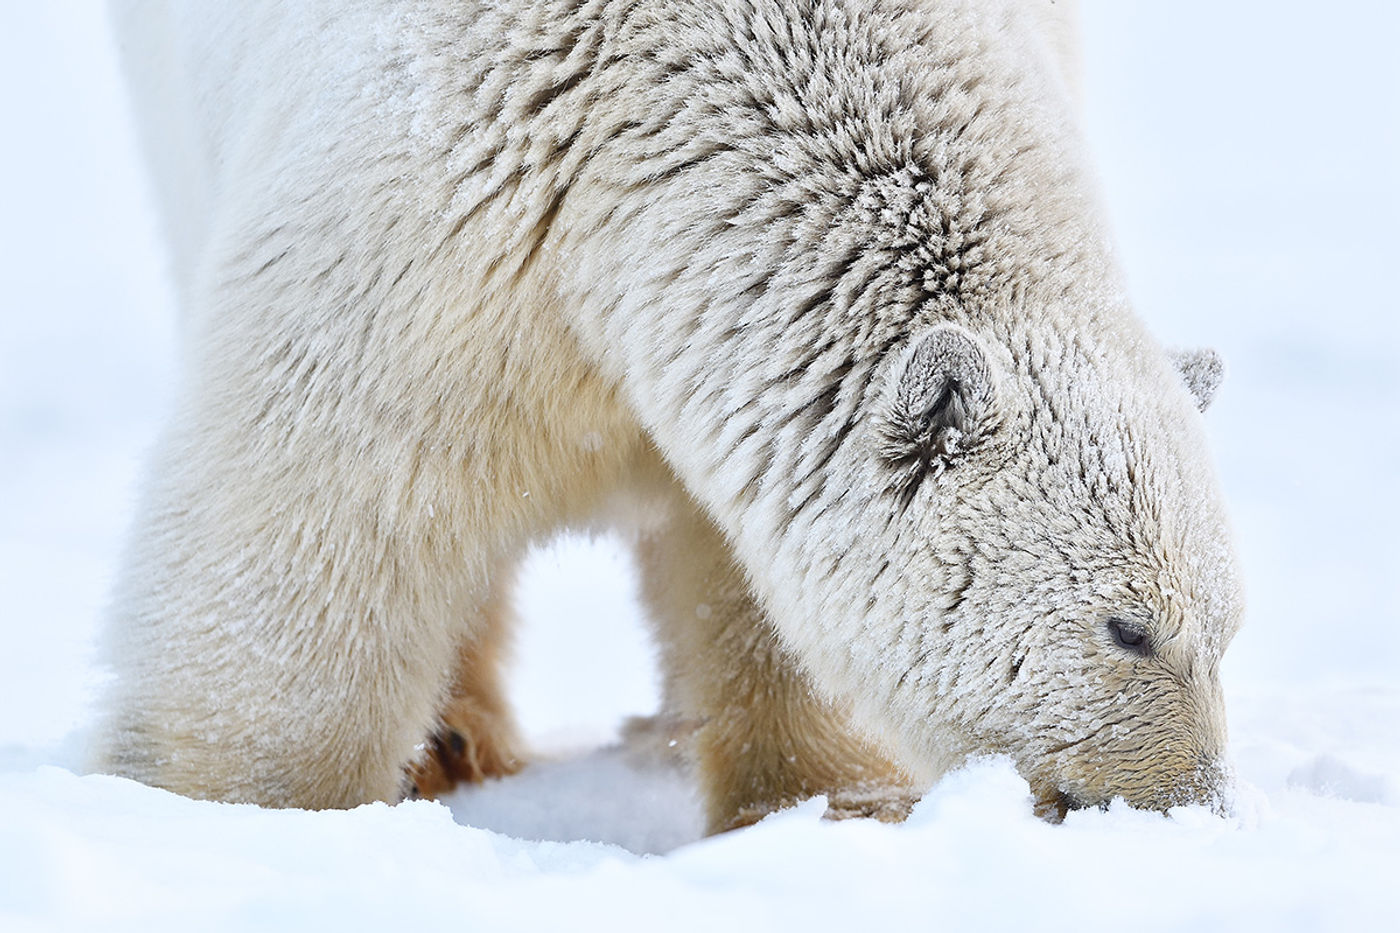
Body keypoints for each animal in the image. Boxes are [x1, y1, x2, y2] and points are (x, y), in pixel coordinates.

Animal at [101, 0, 1248, 829]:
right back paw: (453, 744)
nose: (1188, 810)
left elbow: (756, 583)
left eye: (1231, 630)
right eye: (1128, 629)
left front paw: (833, 807)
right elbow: (327, 498)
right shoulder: (449, 215)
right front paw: (240, 812)